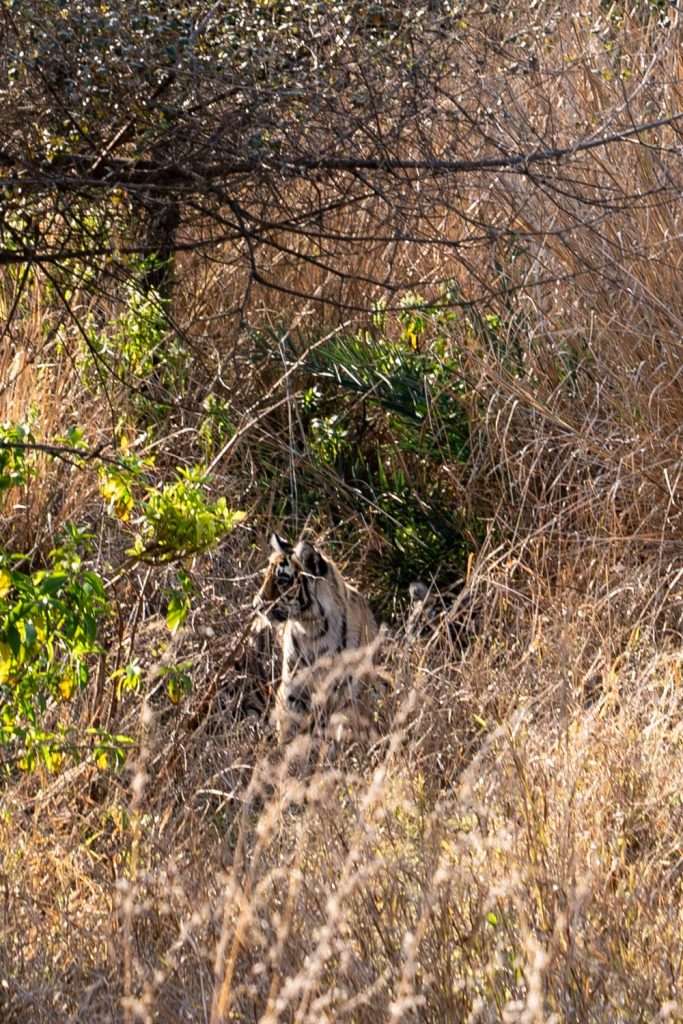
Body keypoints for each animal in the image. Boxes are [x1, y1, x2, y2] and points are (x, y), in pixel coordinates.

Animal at [253, 532, 385, 741]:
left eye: (282, 581)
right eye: (266, 576)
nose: (256, 605)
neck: (312, 630)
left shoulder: (346, 687)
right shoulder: (294, 686)